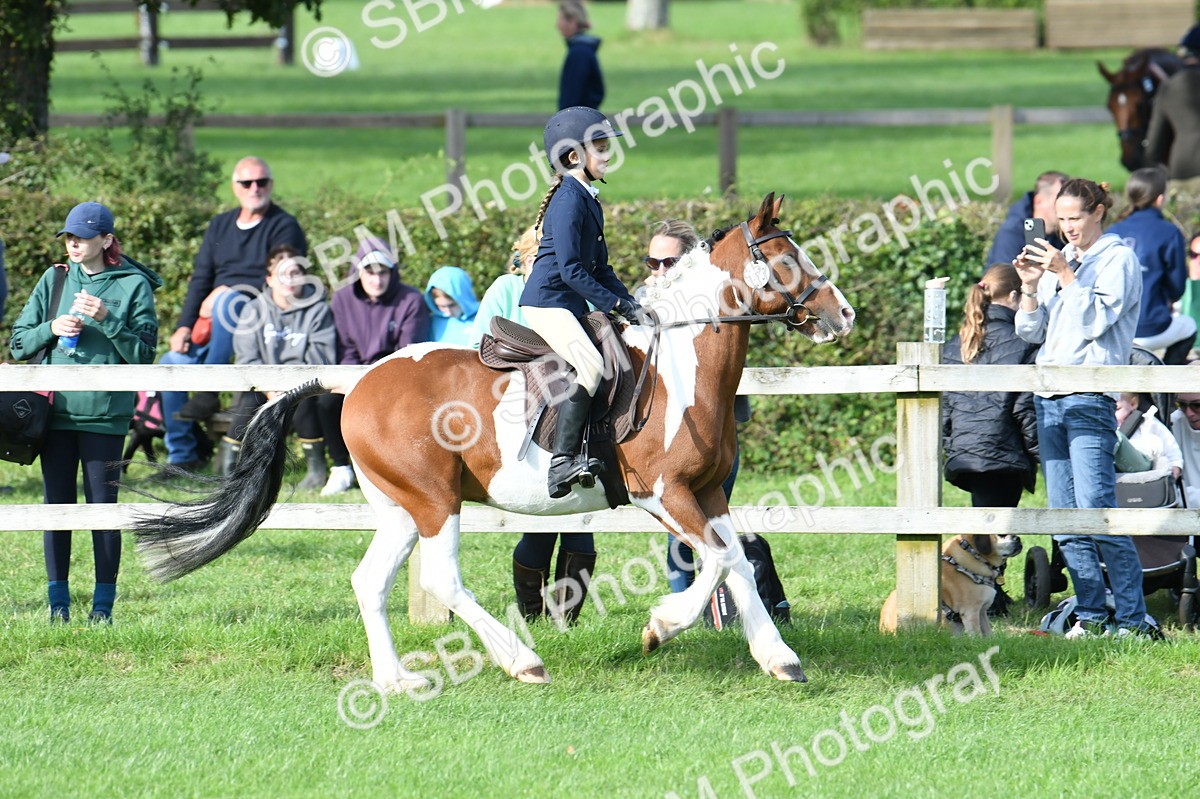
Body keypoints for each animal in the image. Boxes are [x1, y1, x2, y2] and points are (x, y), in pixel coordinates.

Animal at [132, 193, 856, 691]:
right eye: (786, 259)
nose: (843, 314)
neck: (678, 364)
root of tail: (358, 382)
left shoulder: (707, 493)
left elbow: (737, 562)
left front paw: (779, 658)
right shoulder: (665, 494)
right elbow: (716, 561)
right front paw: (660, 626)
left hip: (400, 507)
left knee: (369, 580)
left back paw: (396, 678)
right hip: (433, 500)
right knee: (444, 579)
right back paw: (522, 661)